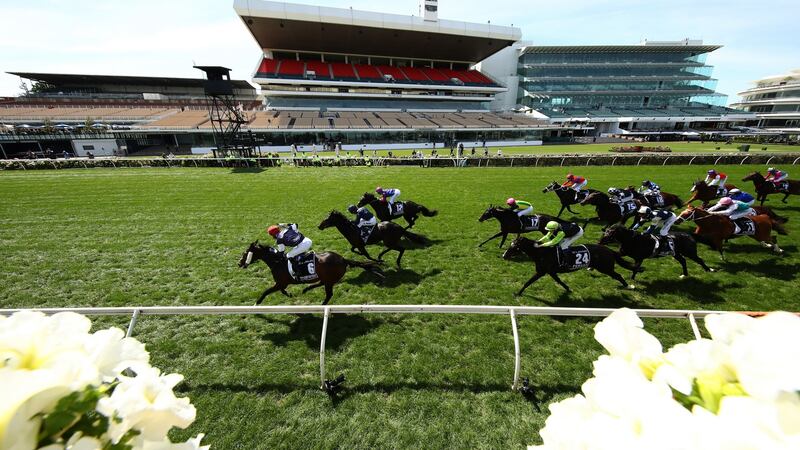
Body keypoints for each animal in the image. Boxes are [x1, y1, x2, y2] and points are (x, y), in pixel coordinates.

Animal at [238, 243, 384, 306]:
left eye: (245, 253)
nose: (239, 263)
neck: (277, 262)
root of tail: (343, 259)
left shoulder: (280, 283)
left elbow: (267, 291)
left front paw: (257, 302)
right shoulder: (282, 284)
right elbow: (281, 291)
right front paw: (290, 294)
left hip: (329, 280)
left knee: (329, 294)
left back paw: (321, 304)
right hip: (327, 279)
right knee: (320, 283)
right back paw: (306, 288)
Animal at [500, 236, 636, 296]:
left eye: (514, 247)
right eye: (510, 244)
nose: (504, 255)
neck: (541, 252)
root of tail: (609, 250)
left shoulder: (541, 272)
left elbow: (528, 282)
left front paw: (518, 293)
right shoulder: (551, 272)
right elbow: (559, 281)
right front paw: (568, 289)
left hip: (605, 268)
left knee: (618, 275)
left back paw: (628, 286)